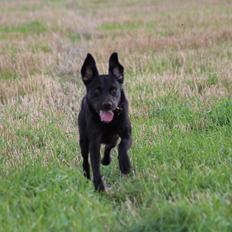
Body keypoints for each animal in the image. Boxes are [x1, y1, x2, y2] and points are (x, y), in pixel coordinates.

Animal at [78, 53, 131, 192]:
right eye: (96, 91)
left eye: (114, 90)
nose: (107, 104)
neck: (108, 123)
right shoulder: (94, 142)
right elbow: (95, 164)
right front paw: (99, 187)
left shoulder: (126, 133)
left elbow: (122, 146)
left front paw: (125, 165)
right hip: (83, 141)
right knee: (85, 159)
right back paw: (86, 175)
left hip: (113, 137)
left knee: (110, 146)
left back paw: (106, 160)